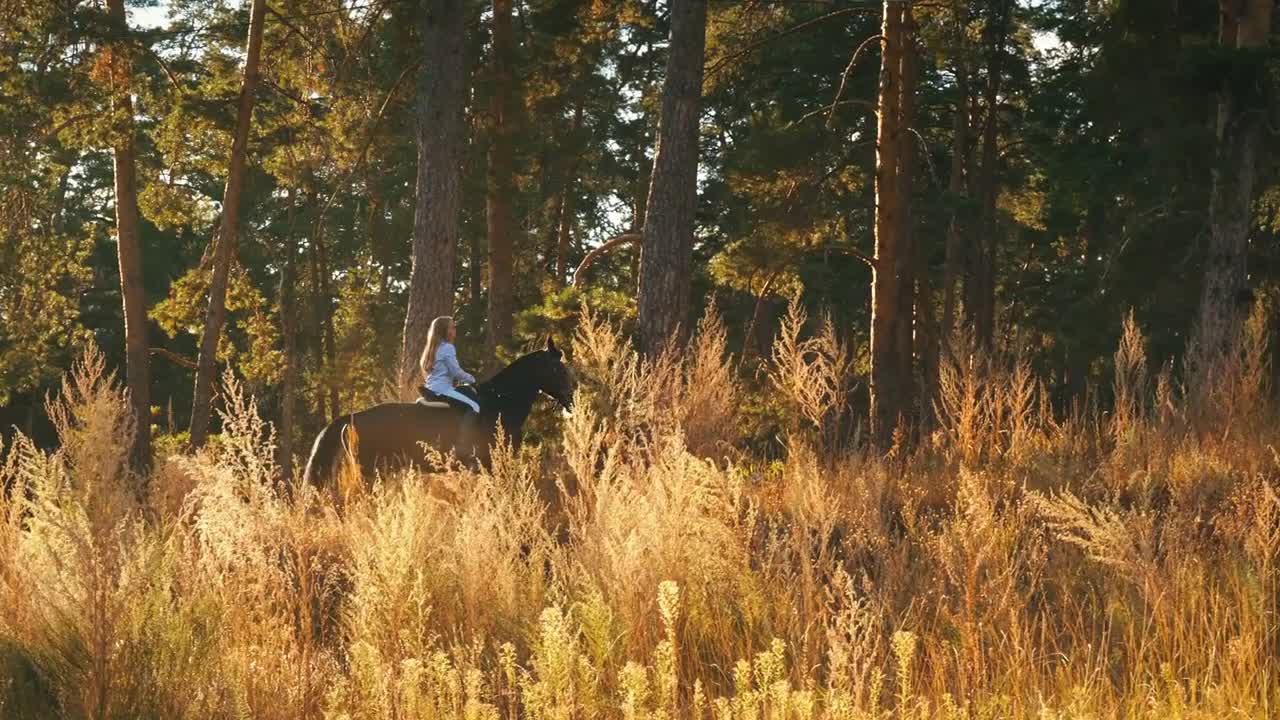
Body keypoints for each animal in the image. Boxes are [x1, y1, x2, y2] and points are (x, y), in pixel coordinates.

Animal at [299, 338, 570, 486]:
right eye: (558, 369)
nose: (571, 399)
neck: (500, 403)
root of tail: (351, 418)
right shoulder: (492, 465)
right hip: (370, 470)